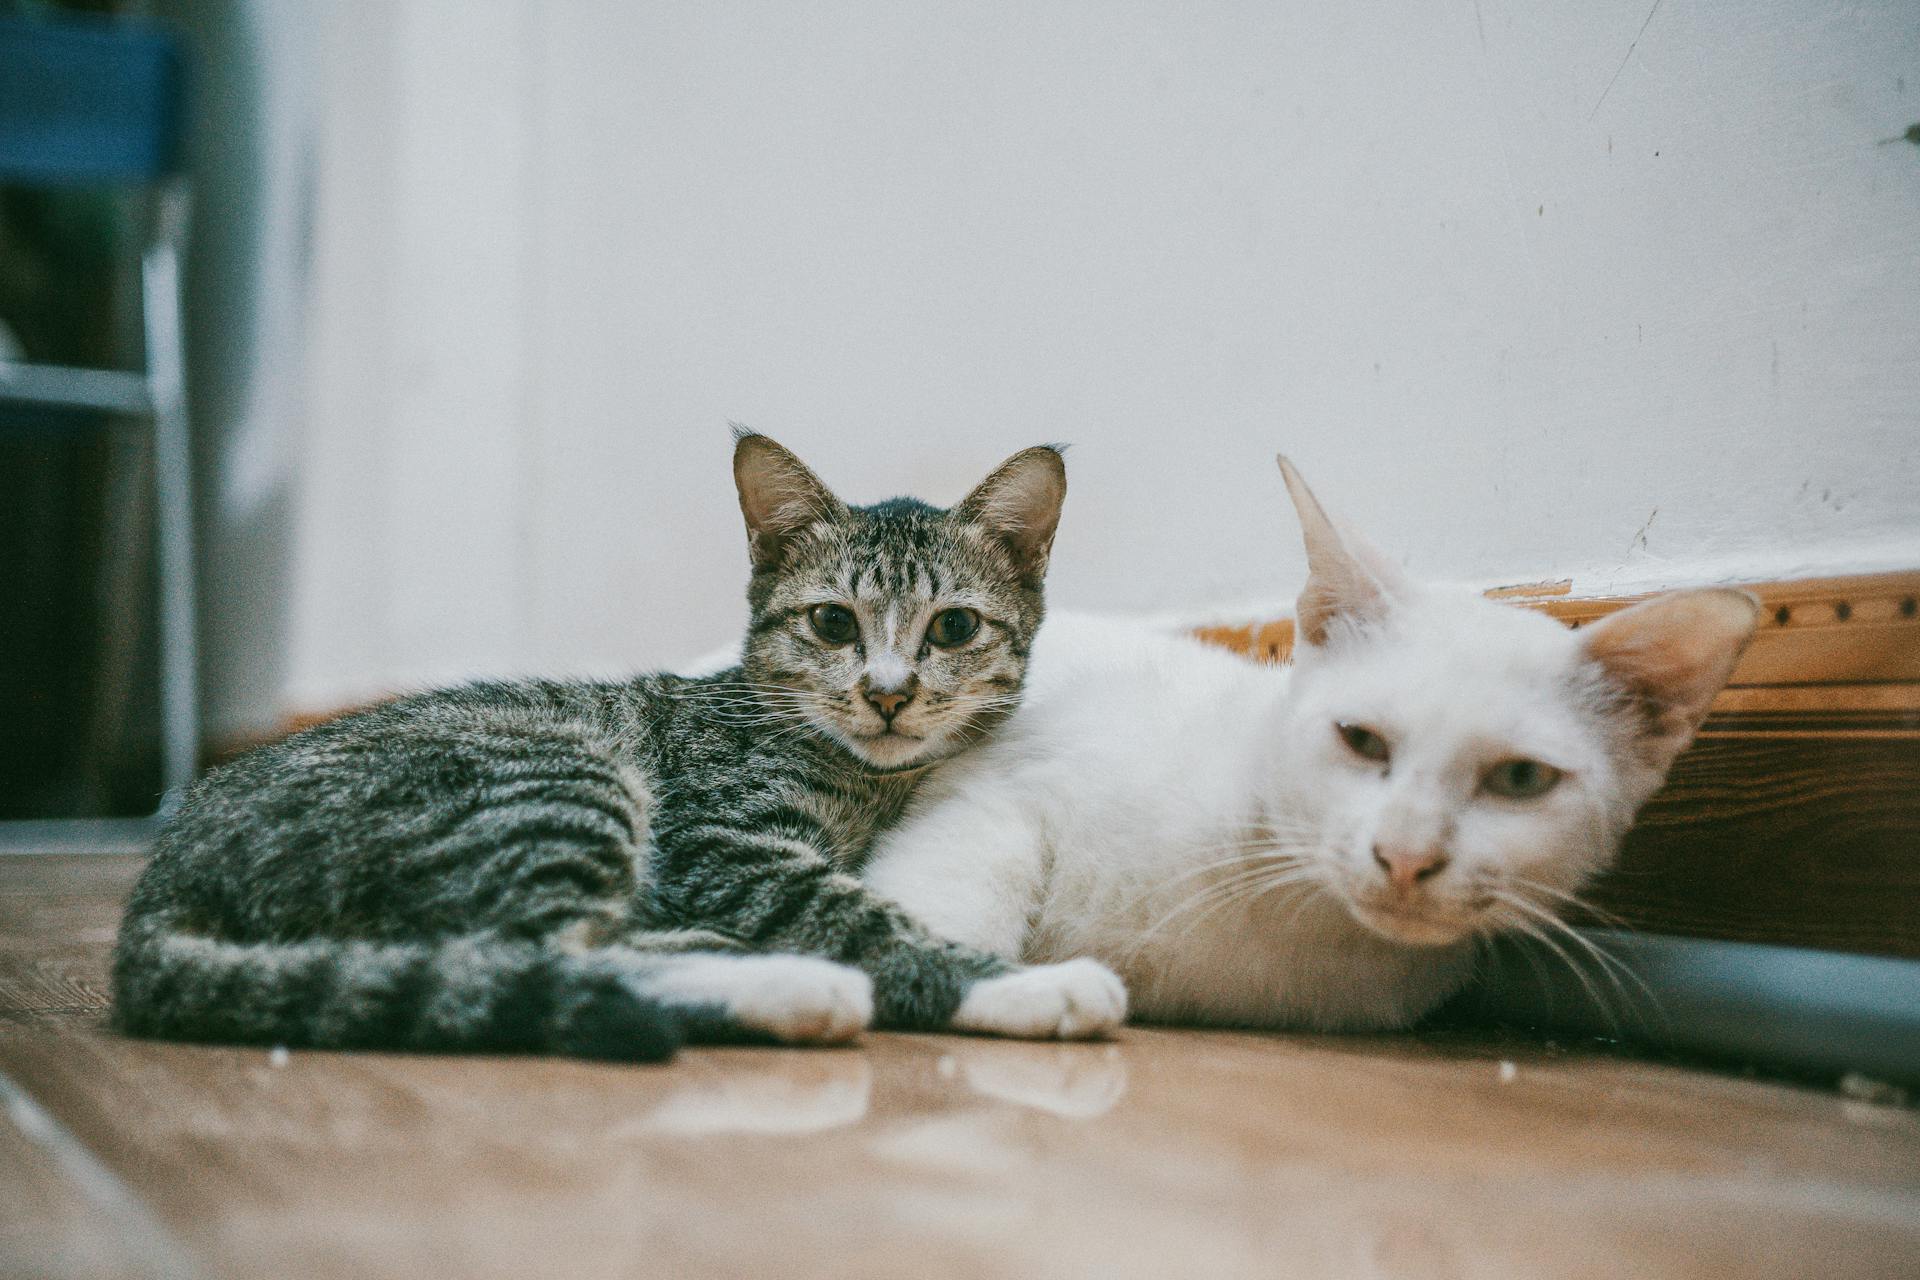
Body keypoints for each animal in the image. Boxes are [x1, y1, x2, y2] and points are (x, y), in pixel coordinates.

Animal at [112, 435, 1121, 1066]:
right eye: (833, 622)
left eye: (952, 627)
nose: (887, 692)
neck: (860, 779)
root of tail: (165, 876)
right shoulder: (728, 841)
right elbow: (858, 915)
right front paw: (1024, 986)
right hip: (549, 780)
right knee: (539, 957)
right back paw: (793, 985)